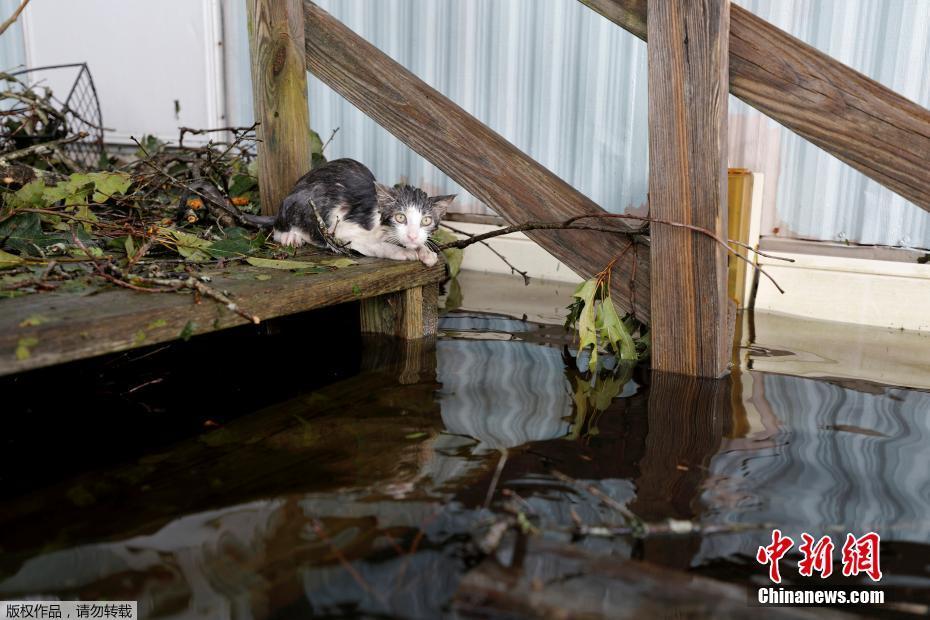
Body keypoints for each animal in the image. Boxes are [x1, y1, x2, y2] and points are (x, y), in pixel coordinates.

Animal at [266, 159, 452, 266]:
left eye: (426, 221)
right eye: (400, 217)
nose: (412, 236)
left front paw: (426, 252)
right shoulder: (341, 231)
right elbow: (377, 245)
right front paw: (403, 252)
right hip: (302, 201)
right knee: (279, 229)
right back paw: (290, 237)